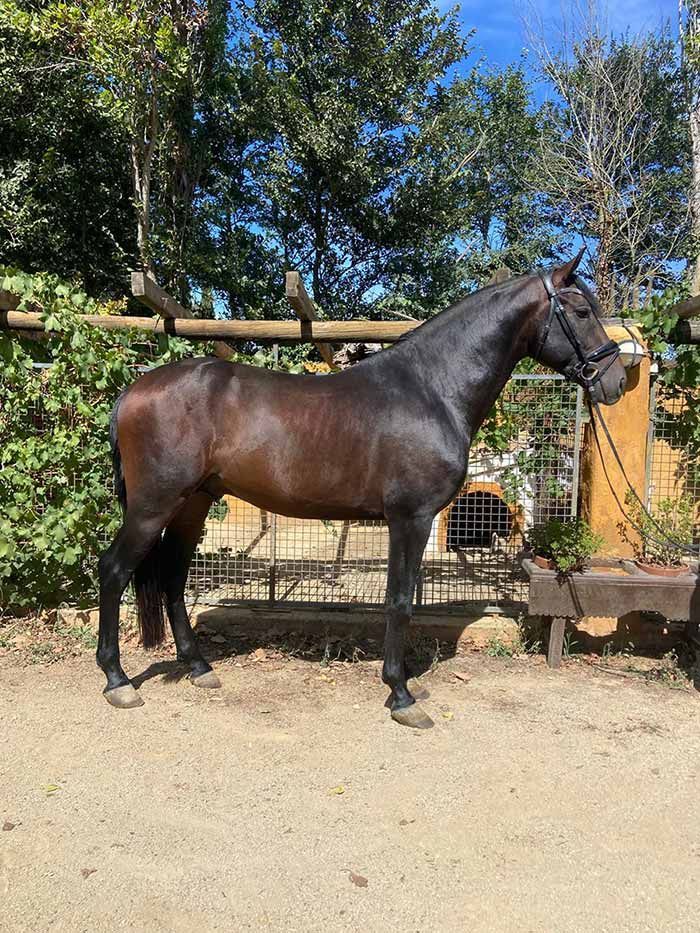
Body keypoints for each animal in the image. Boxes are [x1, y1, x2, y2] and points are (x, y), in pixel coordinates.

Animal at [97, 250, 626, 726]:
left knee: (172, 576)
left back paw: (198, 667)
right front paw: (401, 695)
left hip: (194, 503)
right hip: (154, 505)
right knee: (115, 570)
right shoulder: (411, 518)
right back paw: (118, 681)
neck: (431, 390)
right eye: (582, 312)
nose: (616, 381)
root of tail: (134, 390)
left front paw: (409, 683)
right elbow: (399, 601)